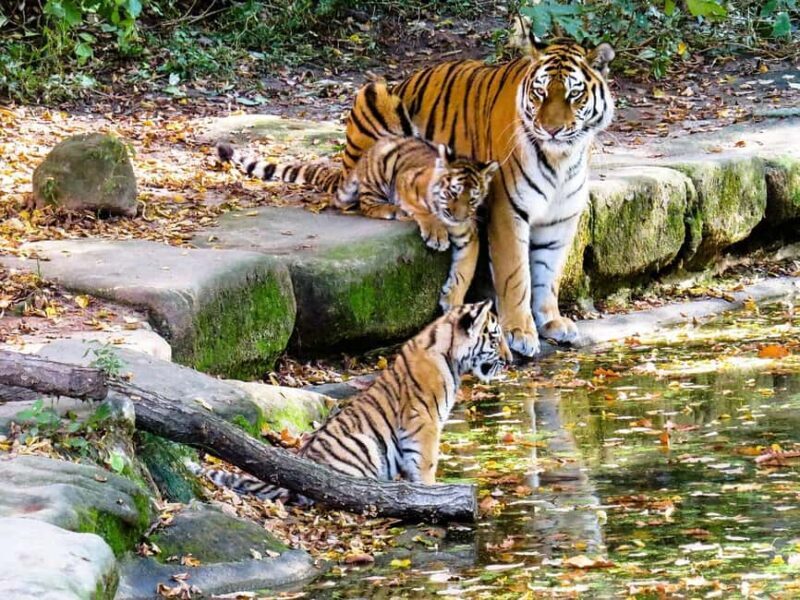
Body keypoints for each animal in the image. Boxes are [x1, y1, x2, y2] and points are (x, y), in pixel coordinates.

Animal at [197, 300, 512, 502]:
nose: (511, 360)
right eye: (495, 338)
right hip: (365, 448)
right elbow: (426, 463)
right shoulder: (424, 422)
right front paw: (431, 492)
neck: (451, 356)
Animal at [217, 137, 499, 310]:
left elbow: (464, 272)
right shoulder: (406, 181)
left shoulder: (469, 236)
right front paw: (436, 234)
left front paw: (453, 300)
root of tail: (364, 158)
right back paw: (392, 210)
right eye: (452, 192)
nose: (458, 216)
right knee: (365, 204)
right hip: (380, 173)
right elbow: (423, 210)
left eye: (473, 199)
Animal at [343, 31, 615, 357]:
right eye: (540, 92)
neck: (562, 159)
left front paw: (552, 321)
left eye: (574, 94)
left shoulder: (561, 218)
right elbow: (516, 274)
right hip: (374, 97)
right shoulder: (508, 209)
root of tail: (402, 80)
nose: (551, 130)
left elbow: (549, 271)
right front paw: (520, 331)